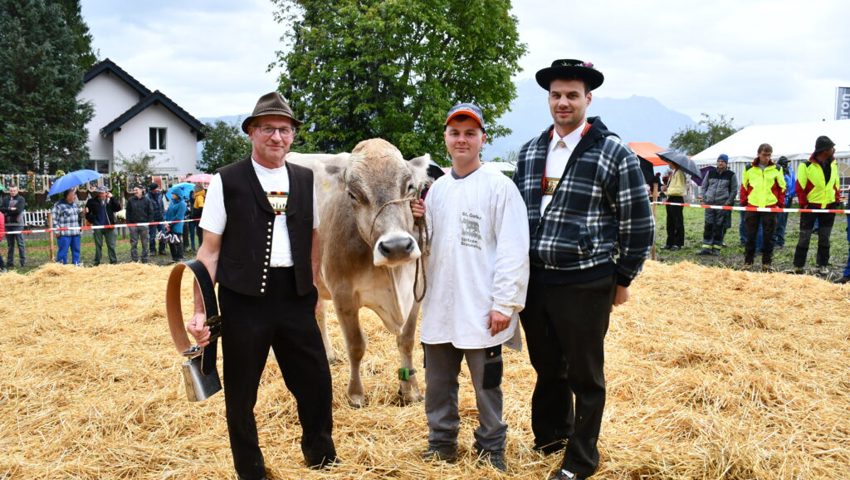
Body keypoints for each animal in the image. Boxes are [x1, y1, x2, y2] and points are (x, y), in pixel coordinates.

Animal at [288, 139, 430, 404]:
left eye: (409, 187)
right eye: (353, 195)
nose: (396, 246)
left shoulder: (417, 291)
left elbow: (406, 341)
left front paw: (411, 390)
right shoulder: (343, 295)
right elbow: (356, 345)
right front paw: (355, 394)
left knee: (319, 312)